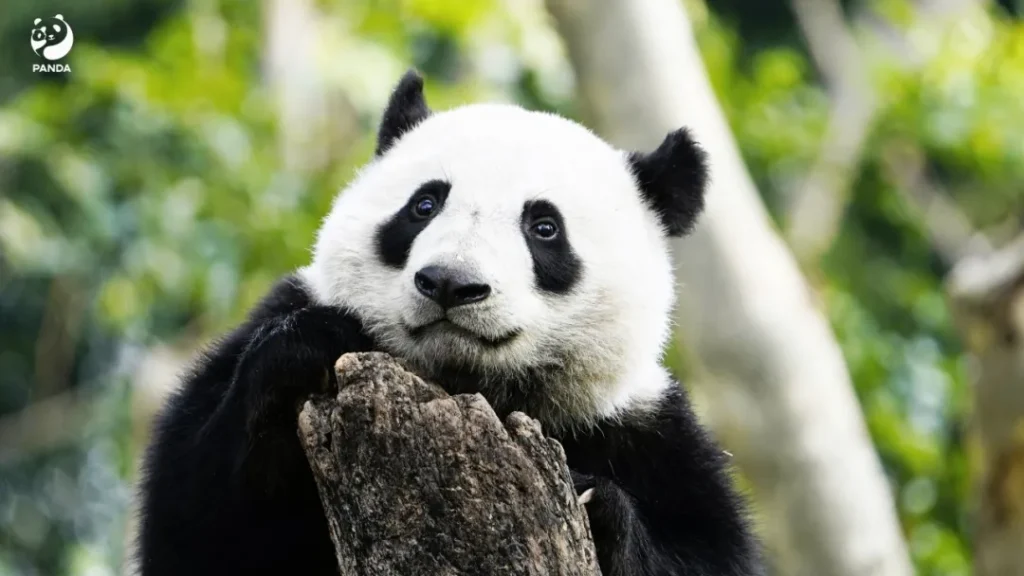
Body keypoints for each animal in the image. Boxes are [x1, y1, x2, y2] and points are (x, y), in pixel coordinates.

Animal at [136, 70, 764, 576]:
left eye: (544, 228)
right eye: (424, 205)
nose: (449, 284)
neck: (463, 379)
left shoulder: (642, 430)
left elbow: (711, 551)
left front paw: (598, 506)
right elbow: (197, 524)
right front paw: (310, 349)